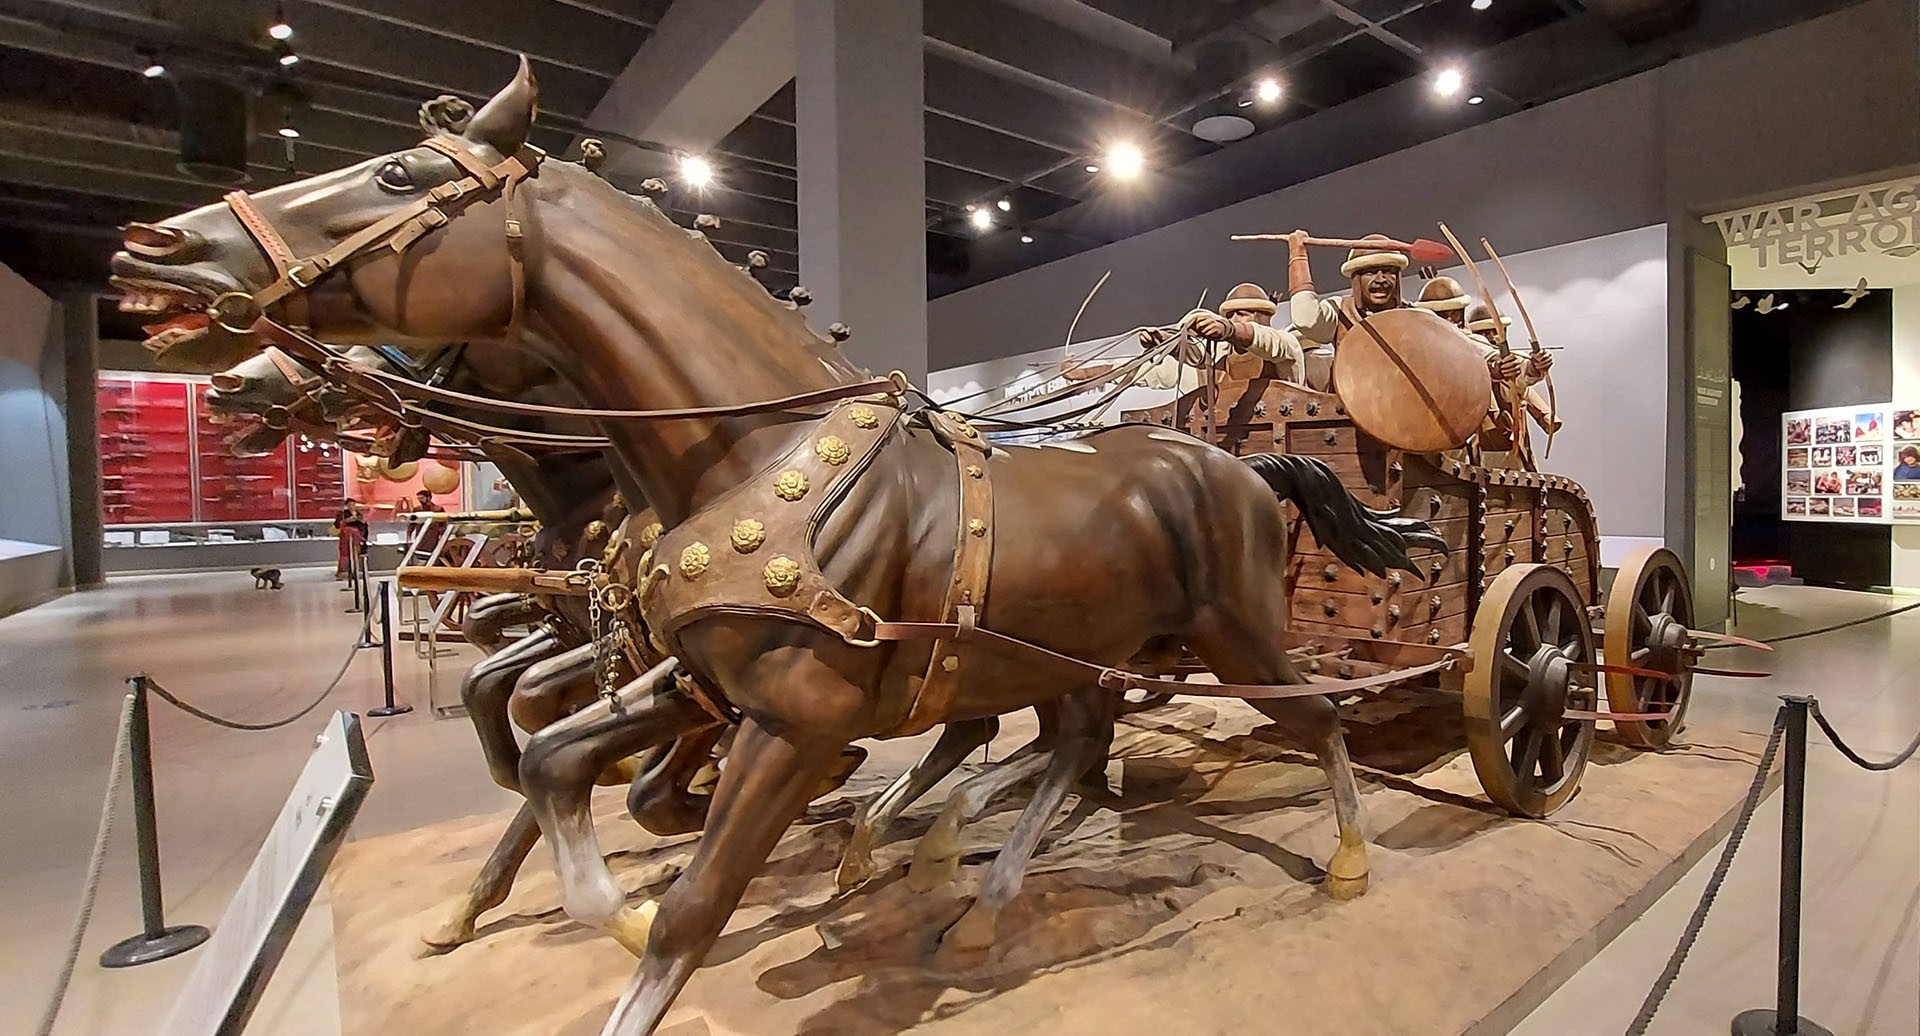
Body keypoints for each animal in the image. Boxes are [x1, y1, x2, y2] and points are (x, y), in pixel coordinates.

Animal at [116, 64, 1443, 1036]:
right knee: (1075, 743)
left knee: (1310, 719)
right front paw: (575, 901)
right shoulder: (692, 681)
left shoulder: (791, 720)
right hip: (1075, 652)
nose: (155, 247)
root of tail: (1232, 463)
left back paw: (1345, 862)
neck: (755, 464)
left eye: (396, 170)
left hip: (1237, 632)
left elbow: (692, 897)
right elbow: (553, 760)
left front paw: (650, 914)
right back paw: (968, 897)